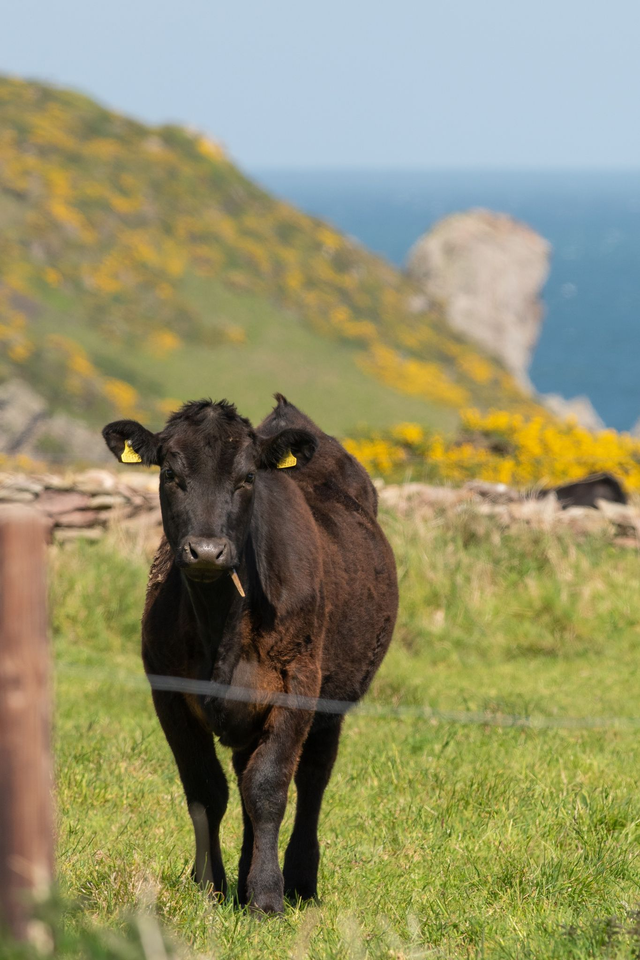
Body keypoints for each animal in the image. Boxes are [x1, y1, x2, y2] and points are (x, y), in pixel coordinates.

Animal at [102, 396, 398, 914]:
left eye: (247, 477)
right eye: (170, 473)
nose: (206, 551)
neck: (221, 625)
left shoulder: (297, 685)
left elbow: (269, 787)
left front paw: (265, 896)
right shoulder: (168, 692)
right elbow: (207, 791)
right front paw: (211, 887)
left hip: (333, 701)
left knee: (312, 780)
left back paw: (298, 879)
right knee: (242, 777)